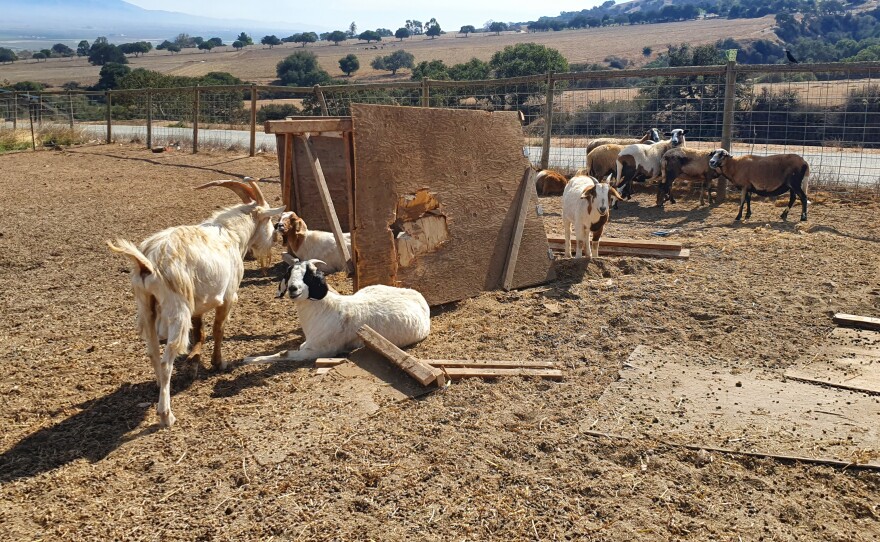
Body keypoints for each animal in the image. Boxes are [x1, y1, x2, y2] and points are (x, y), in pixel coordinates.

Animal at [107, 180, 285, 427]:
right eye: (268, 220)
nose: (274, 240)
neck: (231, 235)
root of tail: (148, 263)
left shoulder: (197, 305)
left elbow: (200, 331)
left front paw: (196, 361)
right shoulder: (228, 296)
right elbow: (218, 329)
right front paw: (219, 363)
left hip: (145, 308)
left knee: (153, 352)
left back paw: (160, 385)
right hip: (177, 309)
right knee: (166, 360)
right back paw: (166, 414)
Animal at [244, 256, 430, 363]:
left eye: (309, 276)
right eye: (288, 274)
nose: (293, 289)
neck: (322, 310)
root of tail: (418, 296)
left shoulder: (319, 351)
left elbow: (284, 354)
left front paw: (250, 359)